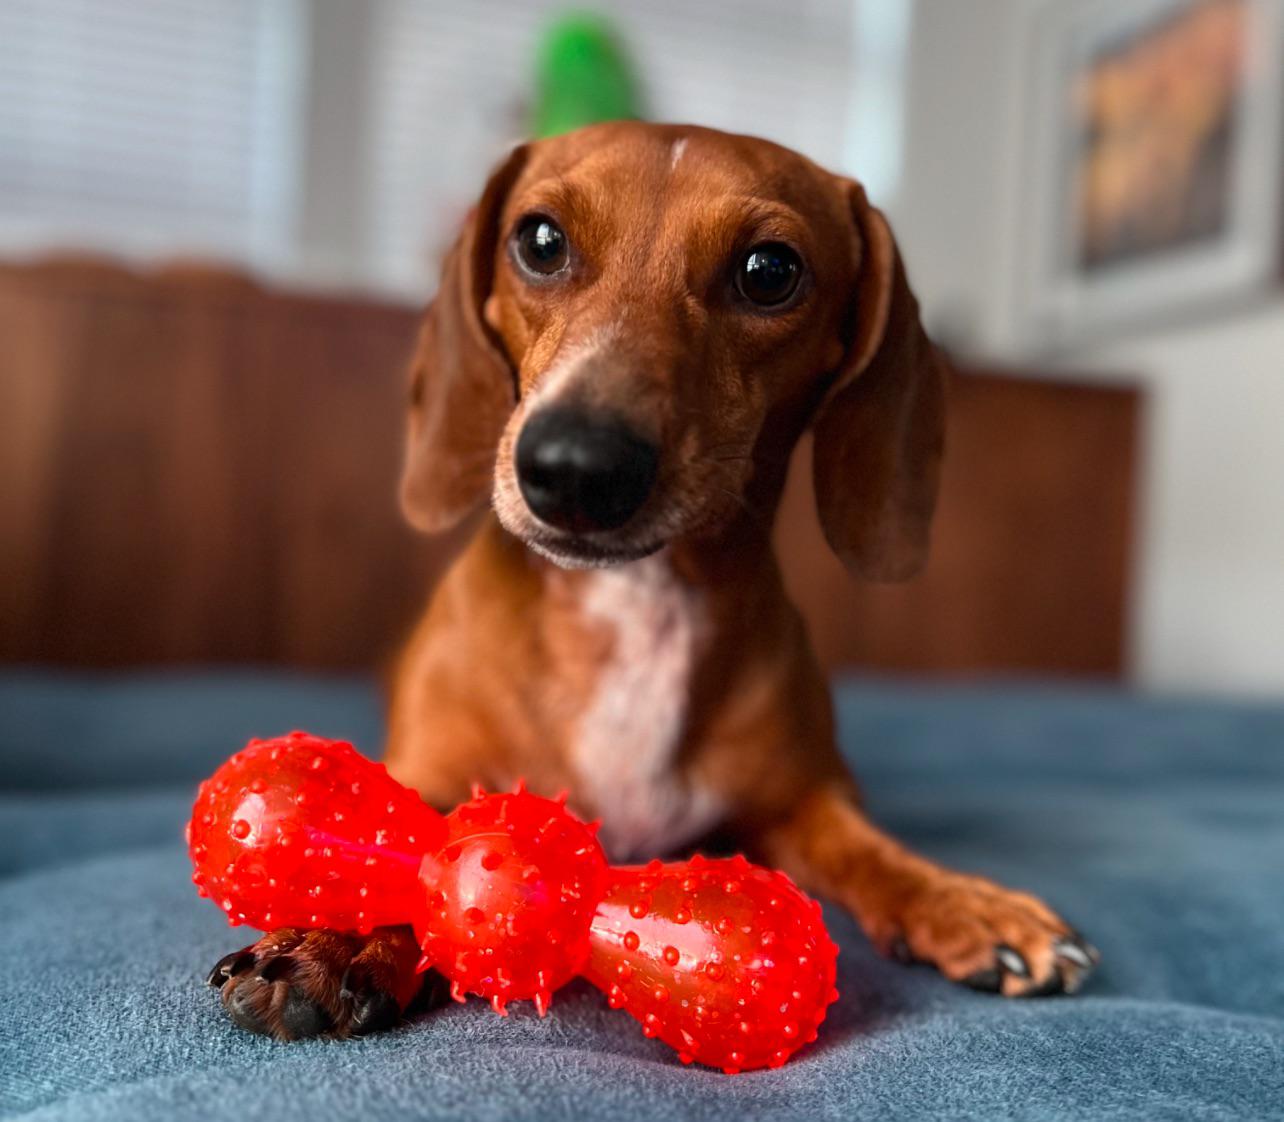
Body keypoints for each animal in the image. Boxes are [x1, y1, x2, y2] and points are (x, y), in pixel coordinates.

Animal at [205, 122, 1099, 1042]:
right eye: (539, 241)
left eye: (769, 270)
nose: (574, 468)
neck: (634, 602)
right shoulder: (435, 775)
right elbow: (404, 844)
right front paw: (335, 938)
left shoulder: (800, 805)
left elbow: (871, 852)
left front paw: (966, 903)